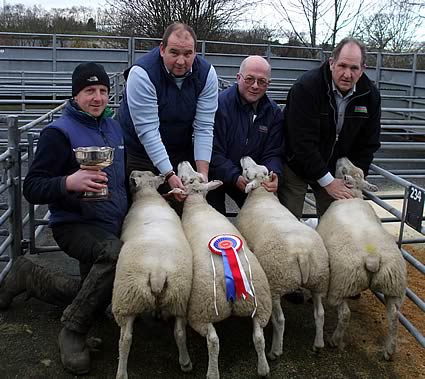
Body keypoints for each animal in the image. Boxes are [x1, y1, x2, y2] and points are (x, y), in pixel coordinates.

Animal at [112, 171, 193, 379]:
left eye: (141, 174)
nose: (131, 173)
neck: (148, 196)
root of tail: (157, 272)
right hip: (179, 296)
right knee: (180, 332)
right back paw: (185, 362)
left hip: (126, 298)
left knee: (125, 339)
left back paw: (121, 372)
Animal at [173, 161, 270, 379]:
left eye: (185, 179)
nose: (183, 162)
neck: (198, 206)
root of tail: (232, 282)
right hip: (260, 305)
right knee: (259, 336)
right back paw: (263, 368)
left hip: (202, 310)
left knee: (213, 341)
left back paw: (212, 372)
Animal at [235, 157, 328, 360]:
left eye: (246, 171)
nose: (244, 158)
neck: (261, 195)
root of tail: (302, 255)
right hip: (318, 279)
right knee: (320, 313)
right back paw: (318, 344)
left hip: (276, 281)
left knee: (280, 320)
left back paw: (275, 351)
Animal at [316, 158, 406, 362]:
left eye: (343, 170)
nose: (341, 157)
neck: (352, 196)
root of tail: (372, 258)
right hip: (394, 285)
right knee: (394, 316)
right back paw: (389, 350)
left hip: (342, 282)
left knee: (345, 314)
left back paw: (334, 339)